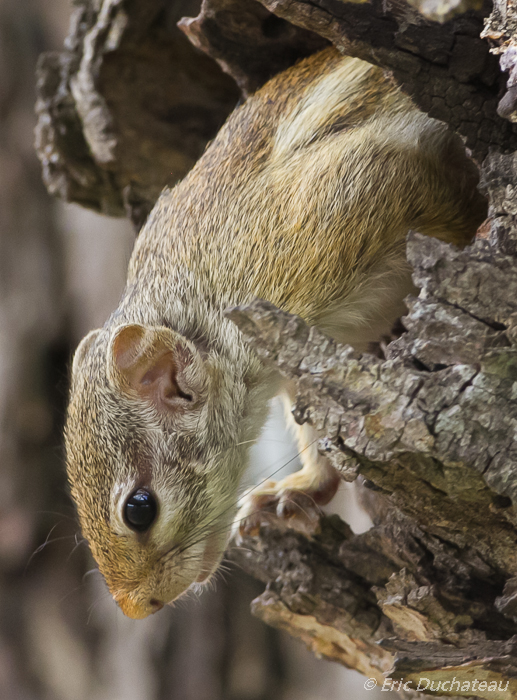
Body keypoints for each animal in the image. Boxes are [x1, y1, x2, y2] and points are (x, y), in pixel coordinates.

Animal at [65, 47, 488, 616]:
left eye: (139, 508)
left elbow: (447, 211)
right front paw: (299, 489)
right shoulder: (308, 363)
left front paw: (481, 237)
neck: (205, 308)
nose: (136, 607)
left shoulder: (346, 202)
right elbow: (316, 428)